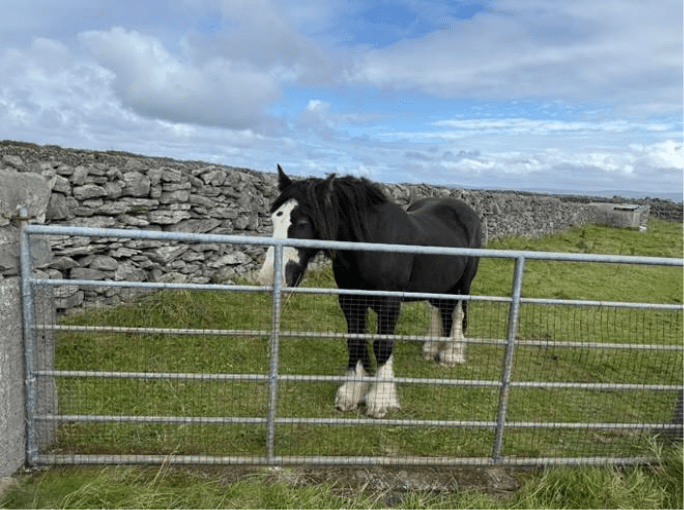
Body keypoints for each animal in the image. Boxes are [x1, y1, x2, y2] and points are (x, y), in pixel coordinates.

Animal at [258, 165, 481, 418]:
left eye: (303, 222)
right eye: (274, 218)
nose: (268, 279)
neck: (370, 244)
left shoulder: (389, 303)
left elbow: (382, 346)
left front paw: (380, 401)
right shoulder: (350, 300)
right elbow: (355, 341)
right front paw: (351, 394)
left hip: (464, 283)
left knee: (457, 314)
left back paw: (452, 354)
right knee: (438, 310)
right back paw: (432, 347)